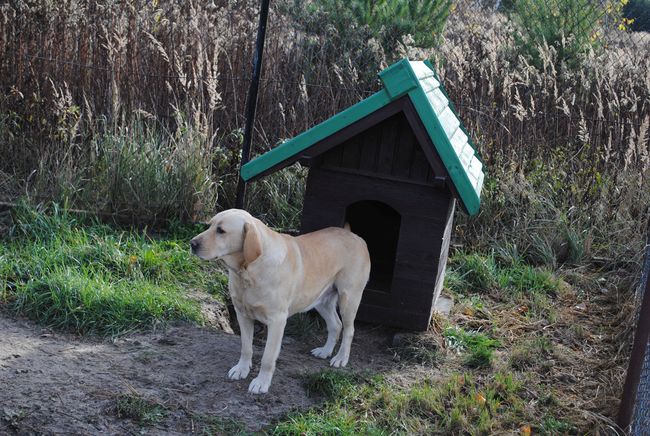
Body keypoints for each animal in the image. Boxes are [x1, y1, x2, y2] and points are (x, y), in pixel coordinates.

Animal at [189, 209, 370, 396]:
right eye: (210, 225)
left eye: (221, 230)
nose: (191, 243)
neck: (247, 272)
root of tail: (353, 235)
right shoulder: (242, 314)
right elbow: (246, 347)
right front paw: (241, 369)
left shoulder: (277, 321)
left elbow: (268, 357)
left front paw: (261, 383)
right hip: (321, 300)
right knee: (336, 325)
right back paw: (325, 351)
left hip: (349, 298)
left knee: (349, 330)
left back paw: (341, 358)